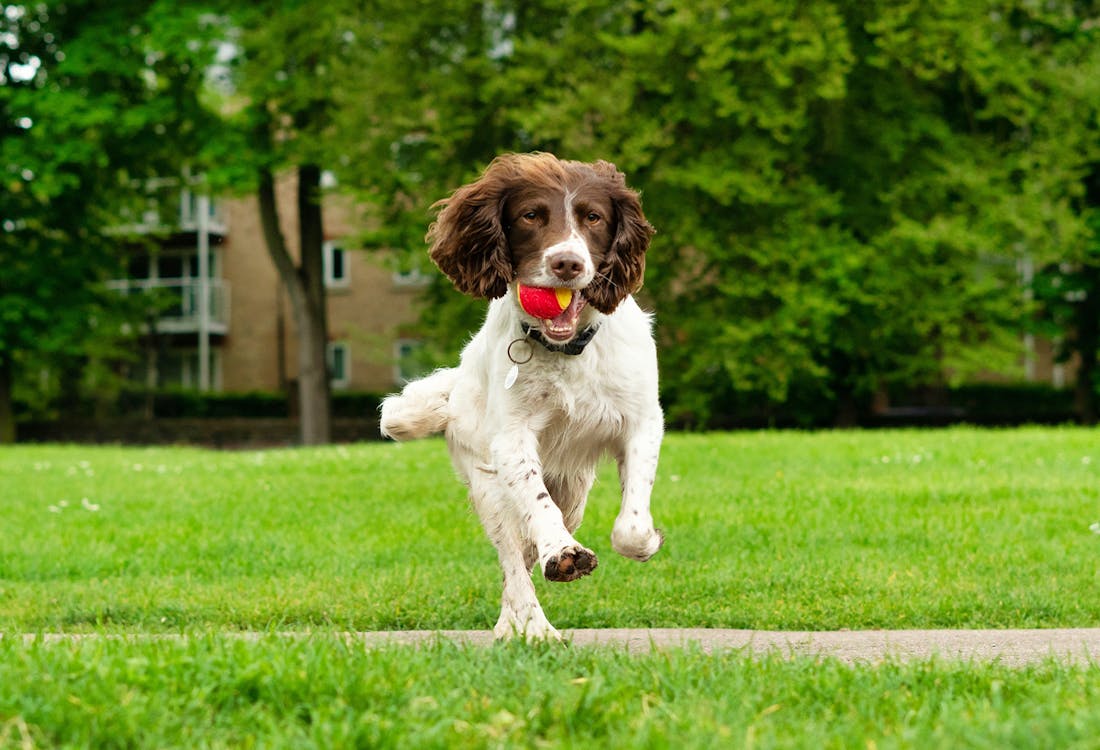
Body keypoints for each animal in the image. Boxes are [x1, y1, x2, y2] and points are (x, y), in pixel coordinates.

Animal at [382, 151, 664, 637]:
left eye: (593, 217)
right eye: (531, 216)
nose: (567, 263)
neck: (566, 349)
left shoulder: (642, 420)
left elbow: (630, 523)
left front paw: (644, 542)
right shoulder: (510, 440)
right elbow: (536, 509)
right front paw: (564, 556)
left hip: (573, 489)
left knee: (529, 551)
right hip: (488, 484)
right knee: (514, 560)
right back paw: (530, 628)